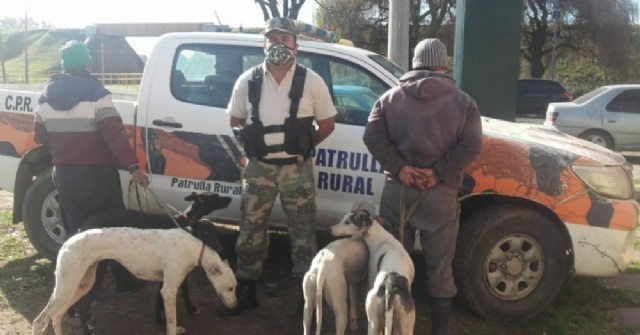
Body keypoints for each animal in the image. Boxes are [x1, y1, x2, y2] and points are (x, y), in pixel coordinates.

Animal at [32, 226, 238, 335]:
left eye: (235, 287)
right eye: (229, 288)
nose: (233, 306)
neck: (192, 248)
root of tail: (67, 242)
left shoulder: (164, 285)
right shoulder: (169, 290)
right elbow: (171, 321)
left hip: (81, 284)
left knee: (57, 316)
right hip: (68, 286)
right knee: (40, 320)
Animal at [330, 203, 416, 335]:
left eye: (347, 222)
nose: (331, 229)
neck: (381, 238)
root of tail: (390, 288)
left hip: (372, 321)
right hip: (406, 325)